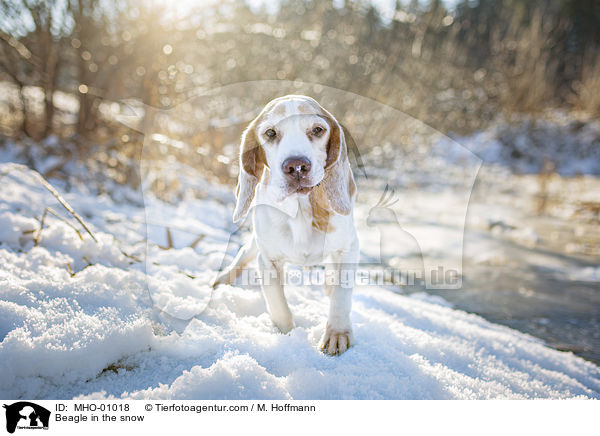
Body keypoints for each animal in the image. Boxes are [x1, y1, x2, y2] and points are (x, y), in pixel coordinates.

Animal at [214, 94, 358, 354]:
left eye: (318, 129)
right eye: (270, 133)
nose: (297, 166)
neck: (300, 209)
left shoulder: (349, 249)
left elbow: (341, 295)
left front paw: (337, 333)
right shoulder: (267, 260)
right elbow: (278, 304)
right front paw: (288, 336)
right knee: (244, 253)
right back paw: (225, 277)